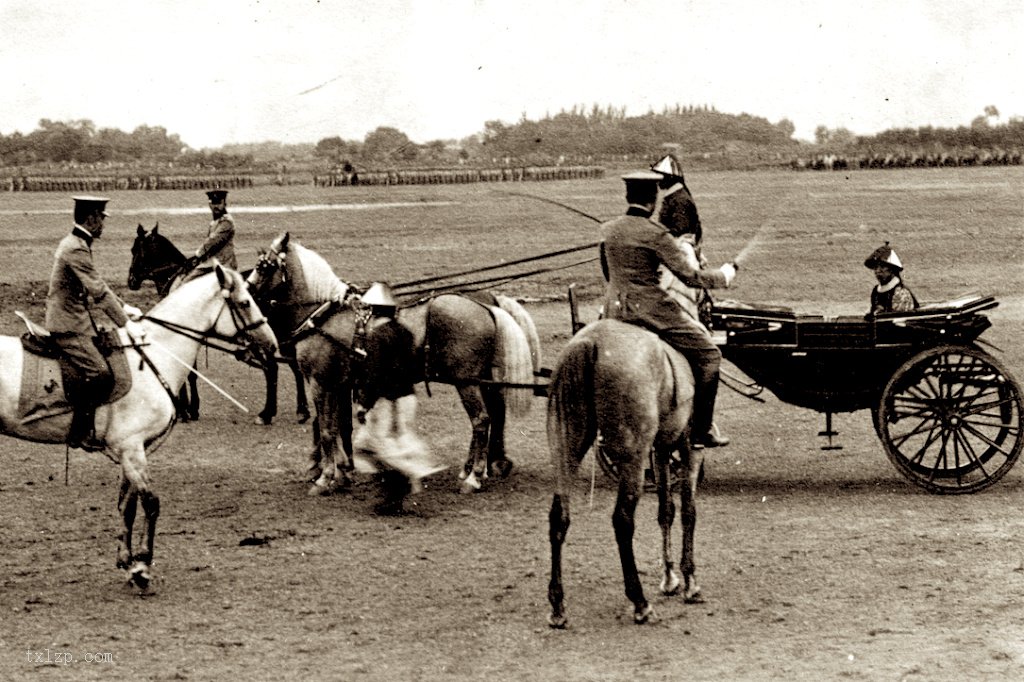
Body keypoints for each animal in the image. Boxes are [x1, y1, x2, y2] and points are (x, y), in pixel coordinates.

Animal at [0, 262, 276, 585]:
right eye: (245, 303)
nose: (271, 345)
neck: (155, 354)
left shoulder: (130, 450)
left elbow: (127, 505)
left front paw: (127, 559)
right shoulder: (132, 449)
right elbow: (151, 503)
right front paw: (142, 565)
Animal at [548, 319, 708, 626]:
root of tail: (591, 341)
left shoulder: (661, 450)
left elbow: (666, 510)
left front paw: (669, 578)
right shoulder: (689, 449)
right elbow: (688, 512)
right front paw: (690, 581)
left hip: (566, 448)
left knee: (558, 517)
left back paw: (557, 606)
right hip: (632, 458)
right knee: (622, 521)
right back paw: (640, 602)